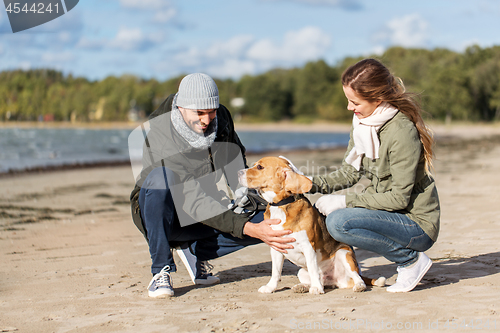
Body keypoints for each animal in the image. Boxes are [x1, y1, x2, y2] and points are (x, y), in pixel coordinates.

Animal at [236, 156, 384, 294]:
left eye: (259, 167)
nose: (238, 172)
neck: (281, 205)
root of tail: (333, 280)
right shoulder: (276, 247)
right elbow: (275, 272)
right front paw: (270, 287)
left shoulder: (308, 246)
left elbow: (313, 269)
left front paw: (316, 288)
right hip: (301, 271)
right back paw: (303, 287)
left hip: (344, 254)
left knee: (356, 277)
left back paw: (357, 286)